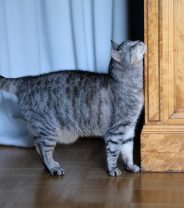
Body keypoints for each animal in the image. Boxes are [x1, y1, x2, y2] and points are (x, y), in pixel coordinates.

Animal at [0, 40, 147, 176]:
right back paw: (53, 167)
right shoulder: (117, 129)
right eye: (132, 46)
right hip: (49, 129)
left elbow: (128, 150)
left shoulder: (129, 127)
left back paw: (49, 166)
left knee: (37, 145)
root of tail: (28, 79)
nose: (140, 41)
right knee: (44, 150)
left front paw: (130, 166)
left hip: (40, 128)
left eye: (134, 42)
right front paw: (113, 169)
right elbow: (113, 152)